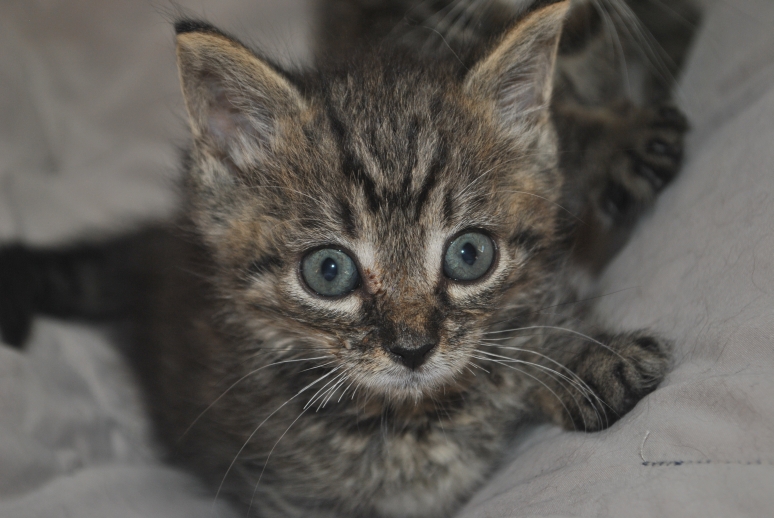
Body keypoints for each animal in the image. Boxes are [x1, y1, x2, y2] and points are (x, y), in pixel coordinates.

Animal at [0, 1, 695, 516]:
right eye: (328, 271)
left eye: (470, 254)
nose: (413, 348)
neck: (414, 418)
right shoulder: (281, 489)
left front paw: (588, 359)